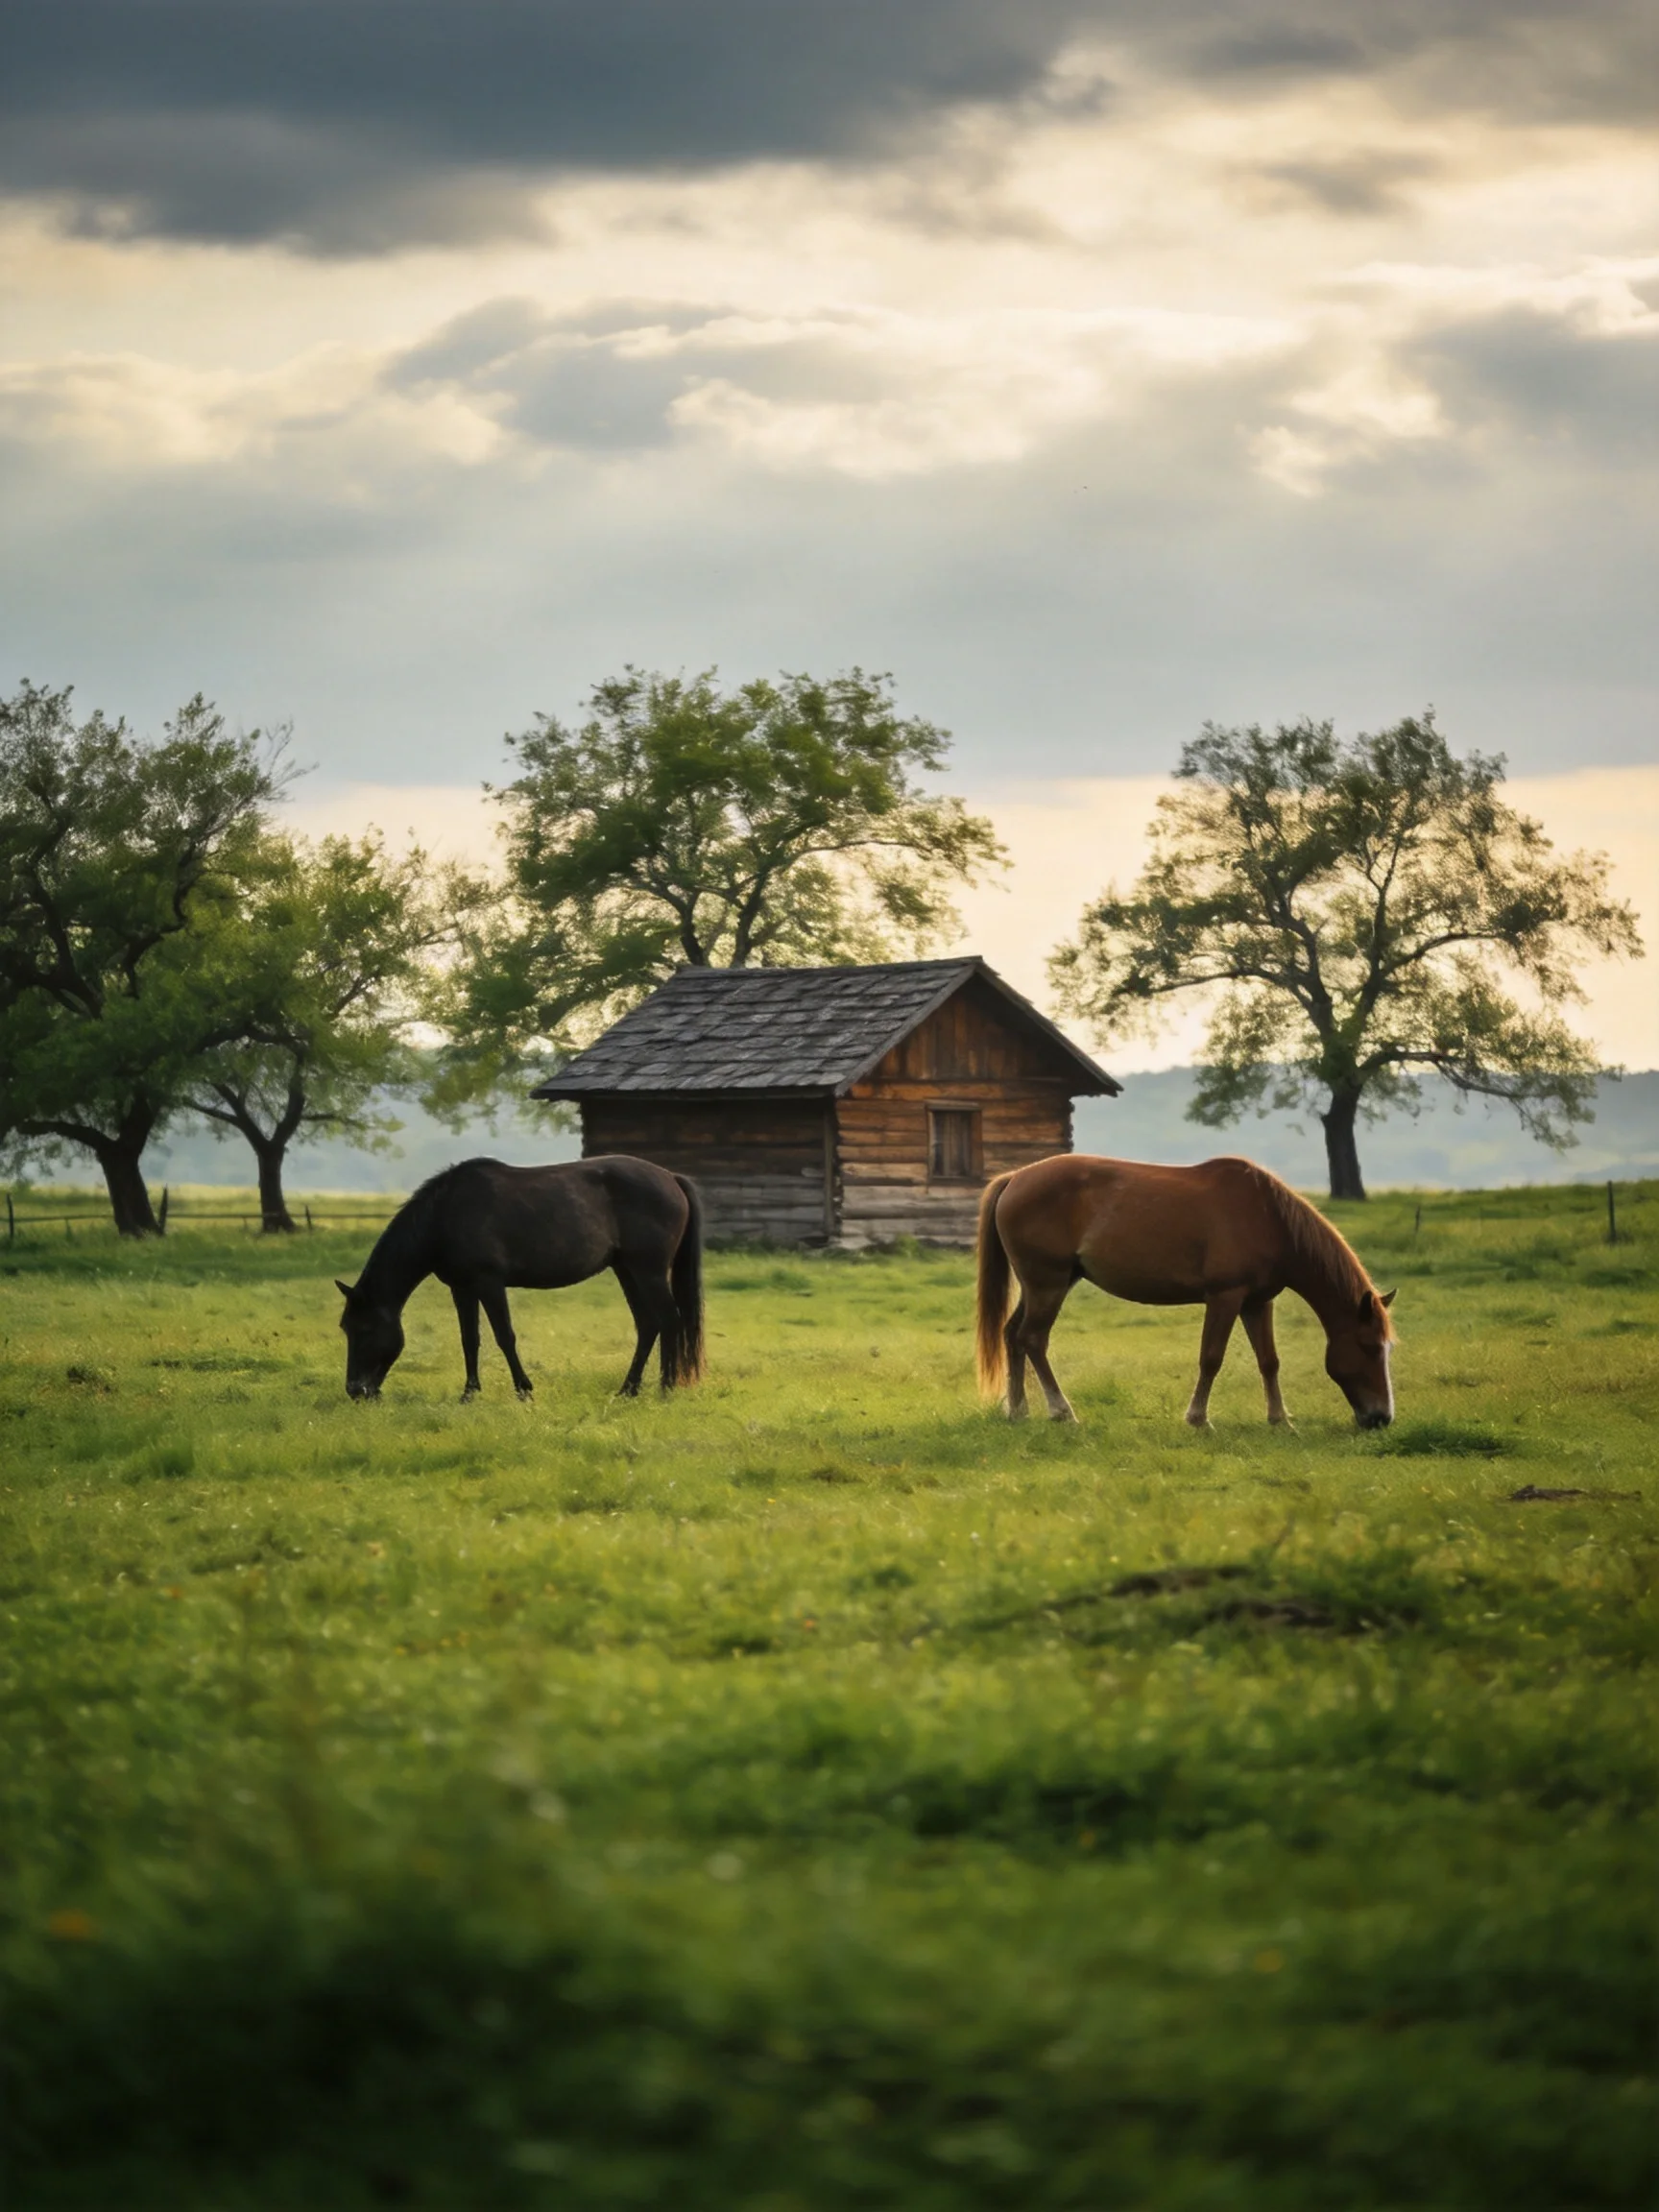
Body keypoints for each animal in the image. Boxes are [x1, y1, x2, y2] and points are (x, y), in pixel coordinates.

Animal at [335, 1156, 703, 1402]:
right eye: (346, 1328)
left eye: (365, 1328)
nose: (356, 1390)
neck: (445, 1216)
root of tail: (671, 1177)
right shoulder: (462, 1288)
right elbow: (469, 1339)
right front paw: (469, 1394)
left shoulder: (489, 1283)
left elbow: (504, 1337)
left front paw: (523, 1391)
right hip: (627, 1270)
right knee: (648, 1324)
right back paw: (628, 1389)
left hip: (649, 1271)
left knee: (669, 1320)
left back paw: (666, 1388)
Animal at [976, 1154, 1395, 1430]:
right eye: (1370, 1347)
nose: (1382, 1418)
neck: (1268, 1218)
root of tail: (1015, 1179)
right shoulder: (1225, 1297)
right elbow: (1211, 1358)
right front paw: (1198, 1419)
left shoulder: (1258, 1303)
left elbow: (1269, 1361)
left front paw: (1280, 1419)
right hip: (1048, 1285)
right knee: (1033, 1339)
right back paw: (1061, 1411)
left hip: (1045, 1285)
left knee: (1012, 1336)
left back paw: (1018, 1411)